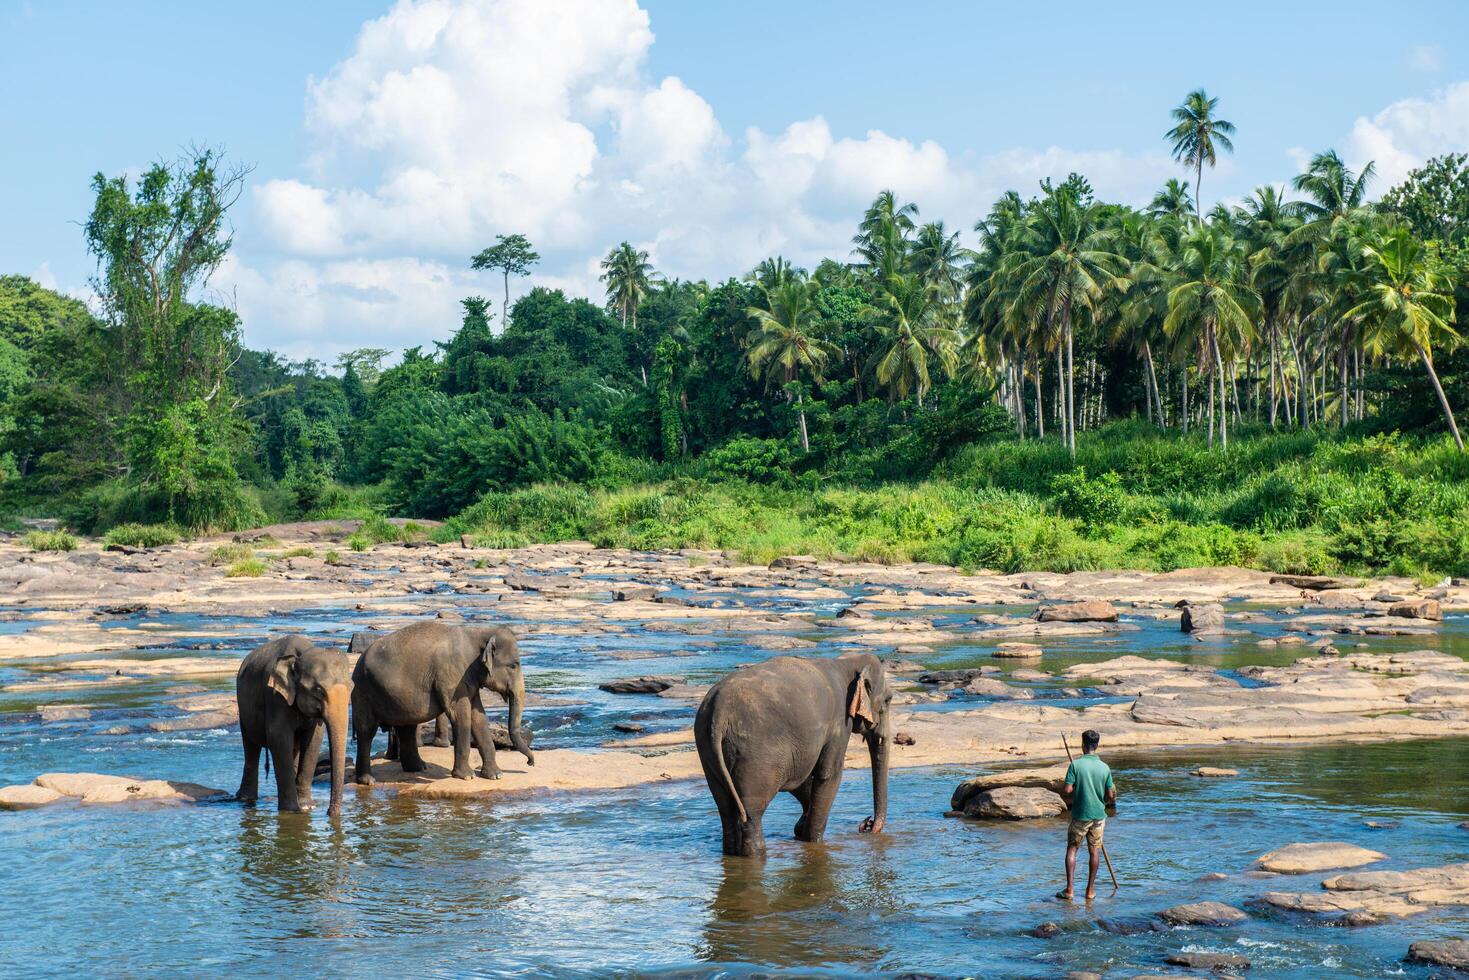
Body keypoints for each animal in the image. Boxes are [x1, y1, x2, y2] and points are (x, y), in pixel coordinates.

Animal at [235, 631, 352, 816]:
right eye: (318, 690)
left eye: (352, 687)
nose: (329, 812)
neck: (300, 655)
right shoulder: (275, 696)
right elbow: (279, 738)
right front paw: (290, 810)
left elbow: (313, 741)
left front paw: (306, 806)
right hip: (243, 708)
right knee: (251, 747)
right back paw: (245, 799)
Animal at [349, 625, 534, 787]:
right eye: (513, 666)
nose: (530, 763)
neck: (478, 632)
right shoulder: (452, 678)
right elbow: (461, 715)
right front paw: (466, 777)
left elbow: (479, 717)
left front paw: (496, 775)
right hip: (363, 692)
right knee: (367, 732)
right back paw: (368, 780)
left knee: (406, 727)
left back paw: (419, 768)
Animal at [693, 652, 887, 858]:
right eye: (887, 701)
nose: (868, 824)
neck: (846, 662)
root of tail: (719, 710)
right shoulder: (839, 725)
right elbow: (828, 775)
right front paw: (813, 841)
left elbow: (801, 777)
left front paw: (801, 830)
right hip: (754, 754)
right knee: (752, 812)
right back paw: (756, 854)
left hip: (707, 748)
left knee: (725, 807)